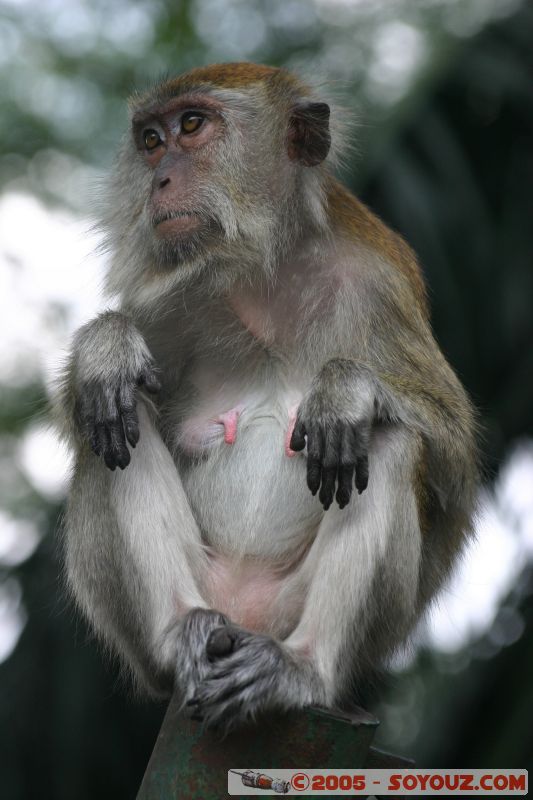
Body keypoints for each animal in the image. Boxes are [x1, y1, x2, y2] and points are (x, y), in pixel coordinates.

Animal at [56, 62, 478, 729]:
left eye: (192, 125)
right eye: (150, 140)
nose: (160, 179)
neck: (265, 274)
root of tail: (245, 615)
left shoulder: (379, 282)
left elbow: (454, 455)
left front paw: (345, 390)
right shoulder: (167, 299)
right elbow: (90, 402)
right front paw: (106, 346)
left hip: (301, 615)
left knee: (384, 440)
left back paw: (300, 670)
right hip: (188, 599)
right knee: (112, 421)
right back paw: (182, 630)